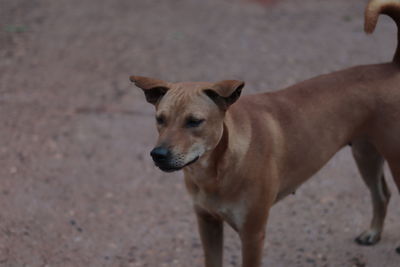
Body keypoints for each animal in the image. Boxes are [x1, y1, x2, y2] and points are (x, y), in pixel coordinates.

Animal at [131, 1, 400, 266]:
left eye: (194, 121)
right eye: (160, 119)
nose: (158, 154)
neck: (216, 170)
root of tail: (392, 66)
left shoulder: (252, 234)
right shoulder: (208, 223)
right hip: (366, 155)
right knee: (382, 194)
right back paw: (373, 233)